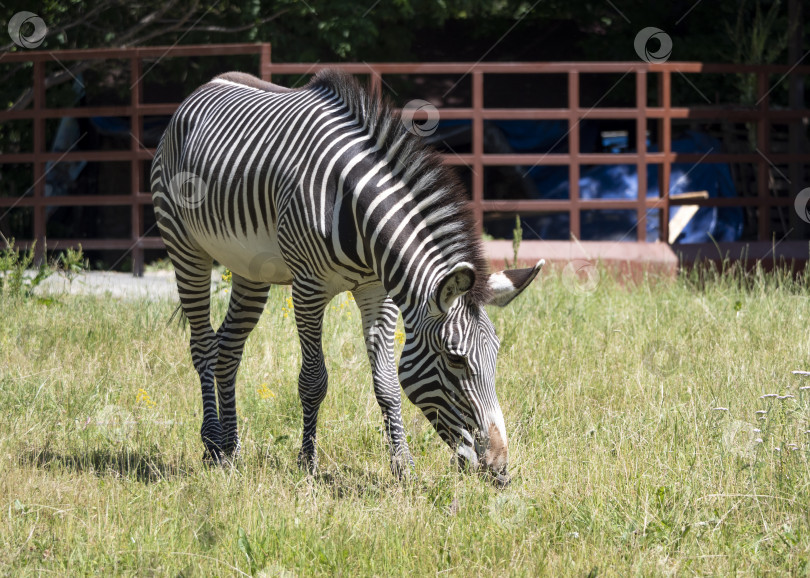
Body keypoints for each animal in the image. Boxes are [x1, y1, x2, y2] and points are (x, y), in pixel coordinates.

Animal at [152, 68, 544, 482]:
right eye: (455, 359)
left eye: (496, 353)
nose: (499, 470)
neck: (357, 210)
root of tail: (207, 85)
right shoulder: (308, 288)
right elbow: (313, 380)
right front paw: (307, 464)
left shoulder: (377, 291)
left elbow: (387, 383)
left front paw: (402, 468)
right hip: (185, 247)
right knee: (202, 345)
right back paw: (212, 443)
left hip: (249, 269)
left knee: (227, 348)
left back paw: (230, 451)